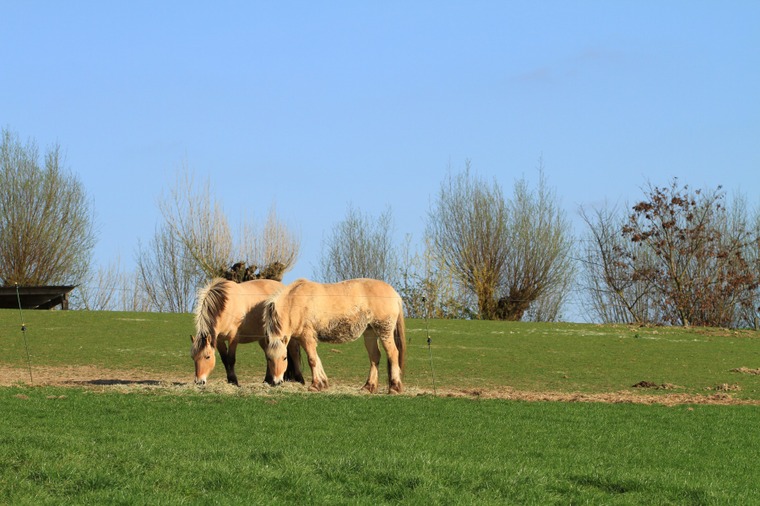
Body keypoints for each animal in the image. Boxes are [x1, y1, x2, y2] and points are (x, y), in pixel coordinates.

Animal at [263, 278, 406, 394]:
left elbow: (312, 360)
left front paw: (315, 385)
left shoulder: (307, 337)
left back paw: (394, 387)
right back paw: (368, 387)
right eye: (268, 358)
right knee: (375, 357)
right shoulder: (305, 339)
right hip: (370, 332)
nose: (276, 382)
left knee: (393, 354)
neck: (295, 302)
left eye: (284, 358)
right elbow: (317, 359)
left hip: (384, 331)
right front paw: (323, 383)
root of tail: (395, 294)